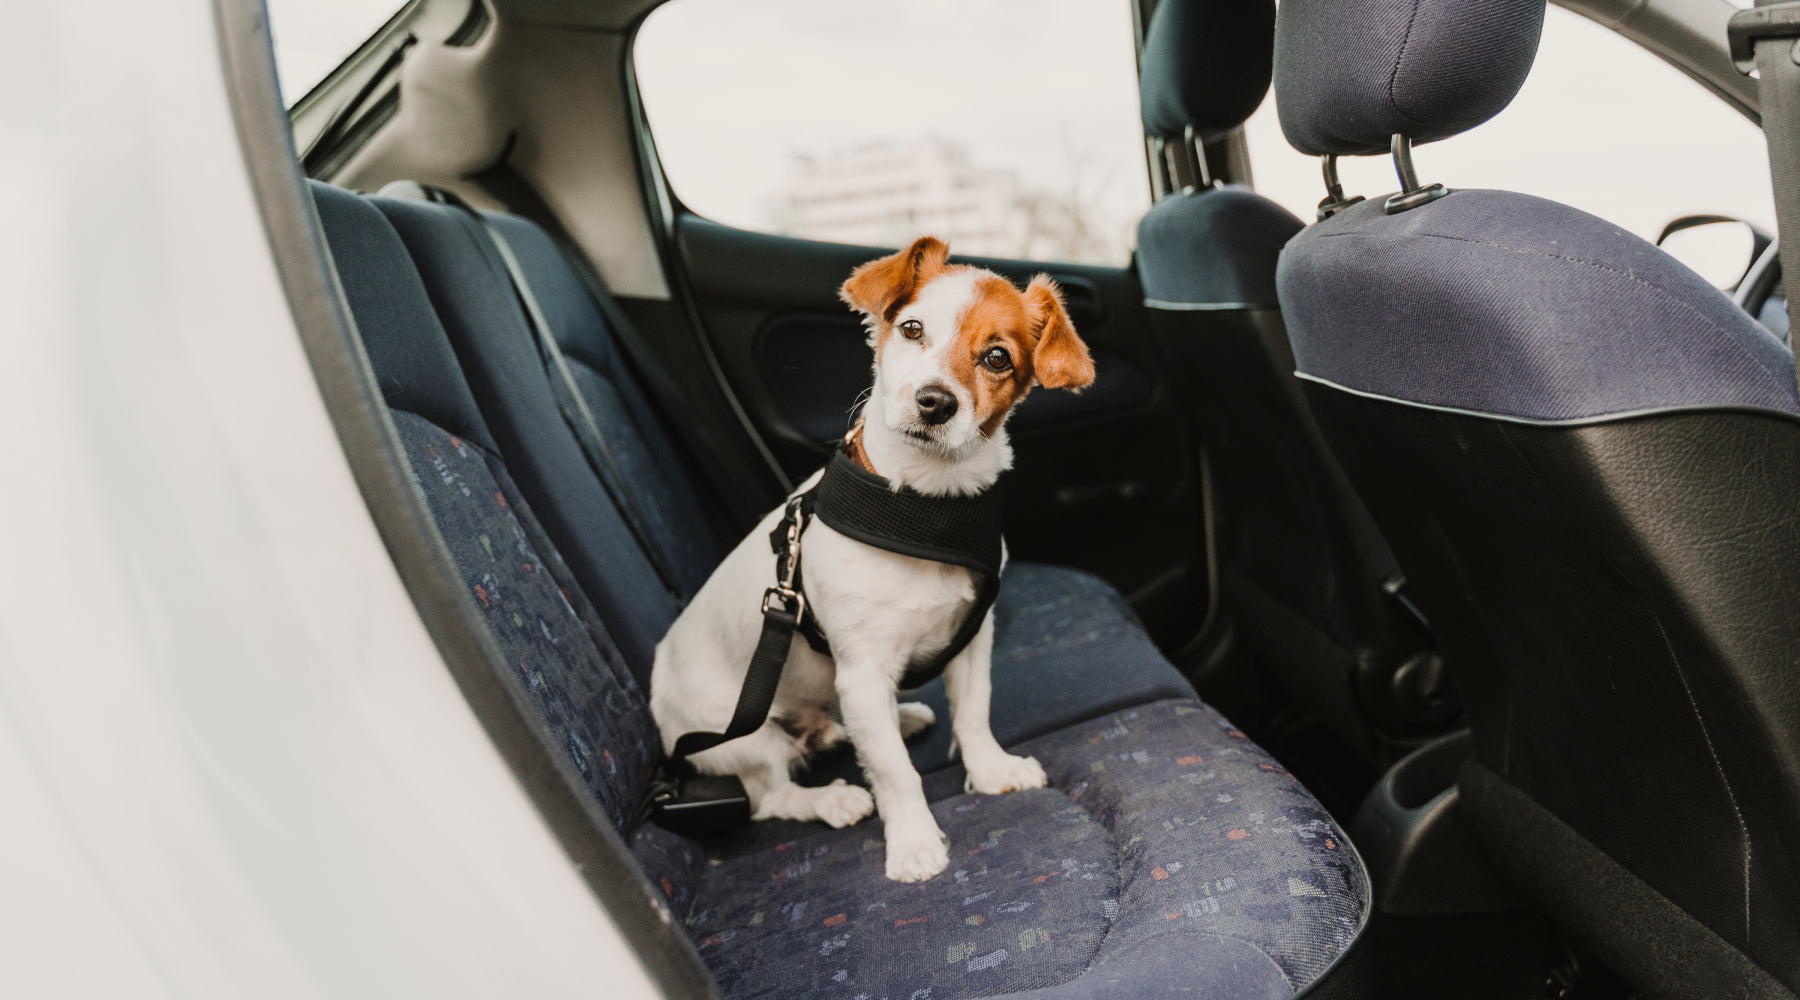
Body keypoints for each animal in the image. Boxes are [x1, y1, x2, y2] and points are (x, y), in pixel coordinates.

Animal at [651, 235, 1094, 881]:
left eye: (997, 358)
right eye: (911, 329)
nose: (934, 402)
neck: (923, 510)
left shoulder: (971, 638)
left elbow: (974, 711)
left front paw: (990, 771)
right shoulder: (861, 670)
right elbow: (894, 772)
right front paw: (912, 842)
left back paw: (892, 719)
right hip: (739, 736)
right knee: (771, 795)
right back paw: (831, 799)